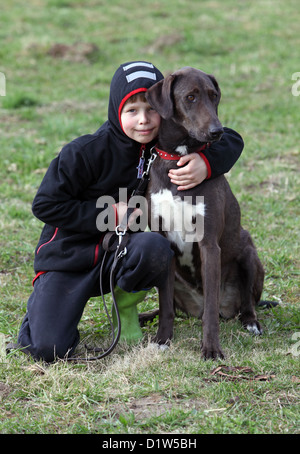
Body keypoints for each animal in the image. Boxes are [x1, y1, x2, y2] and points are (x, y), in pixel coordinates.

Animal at [144, 66, 264, 358]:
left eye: (214, 96)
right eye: (190, 97)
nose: (217, 132)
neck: (178, 159)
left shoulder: (209, 244)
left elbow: (211, 309)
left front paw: (211, 349)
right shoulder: (163, 240)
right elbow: (165, 305)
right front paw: (162, 339)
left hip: (248, 252)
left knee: (246, 302)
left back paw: (250, 322)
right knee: (170, 308)